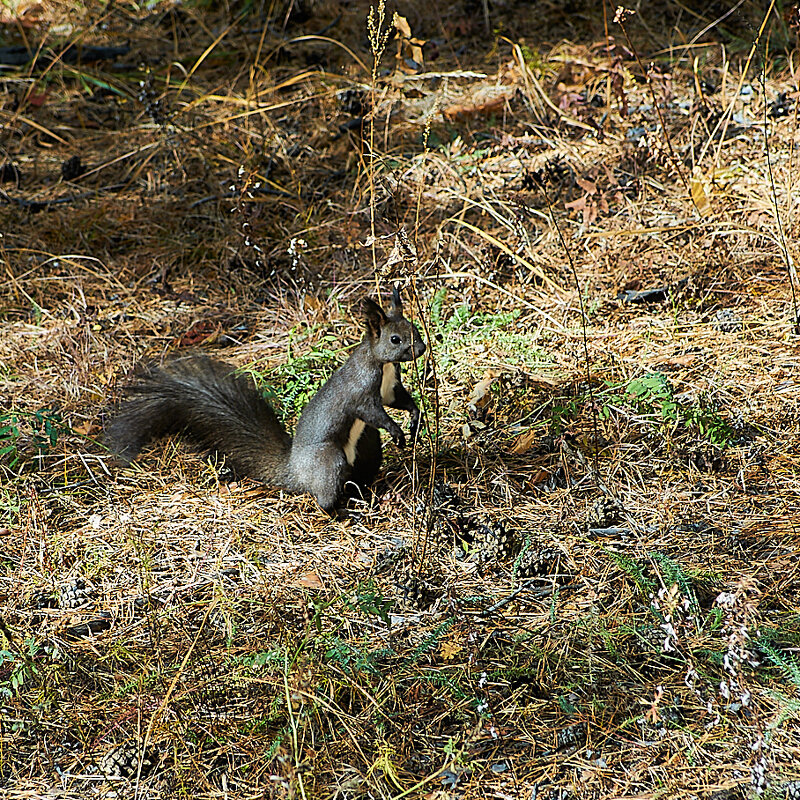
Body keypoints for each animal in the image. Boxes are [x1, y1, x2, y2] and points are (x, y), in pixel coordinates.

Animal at [111, 288, 432, 512]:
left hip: (367, 446)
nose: (422, 348)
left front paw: (415, 419)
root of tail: (295, 473)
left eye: (415, 329)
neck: (382, 364)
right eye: (394, 339)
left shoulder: (390, 387)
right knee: (326, 500)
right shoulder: (360, 393)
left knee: (359, 477)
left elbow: (400, 401)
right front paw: (397, 430)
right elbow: (373, 413)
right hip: (329, 459)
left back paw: (367, 495)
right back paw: (345, 511)